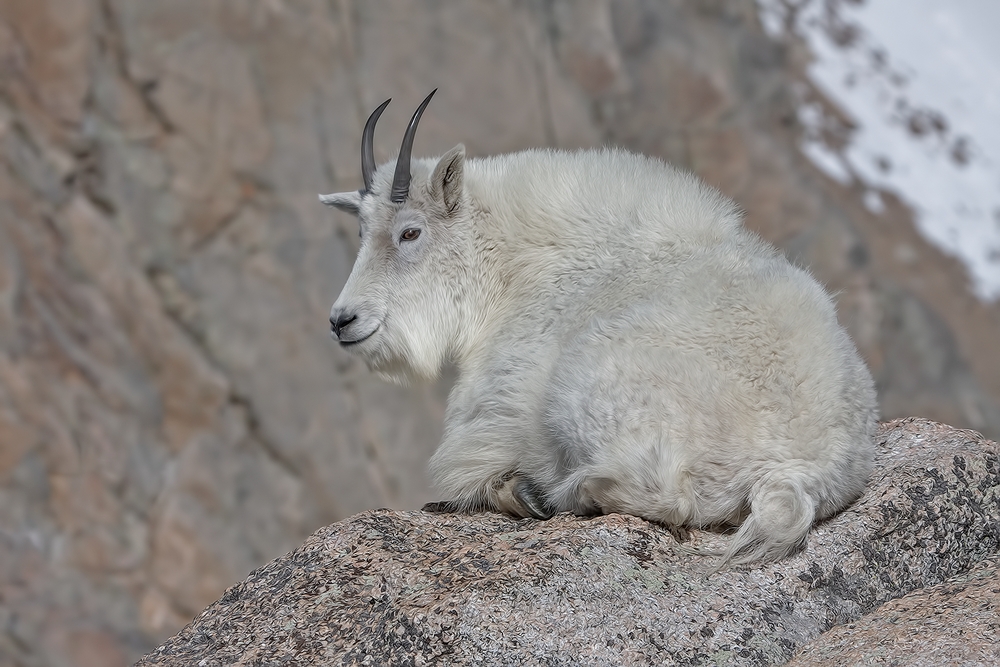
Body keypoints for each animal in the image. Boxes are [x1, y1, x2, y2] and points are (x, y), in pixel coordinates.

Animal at [320, 91, 876, 568]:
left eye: (410, 232)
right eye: (361, 232)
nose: (342, 320)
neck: (515, 268)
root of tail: (797, 471)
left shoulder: (495, 411)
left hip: (588, 386)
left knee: (666, 498)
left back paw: (549, 492)